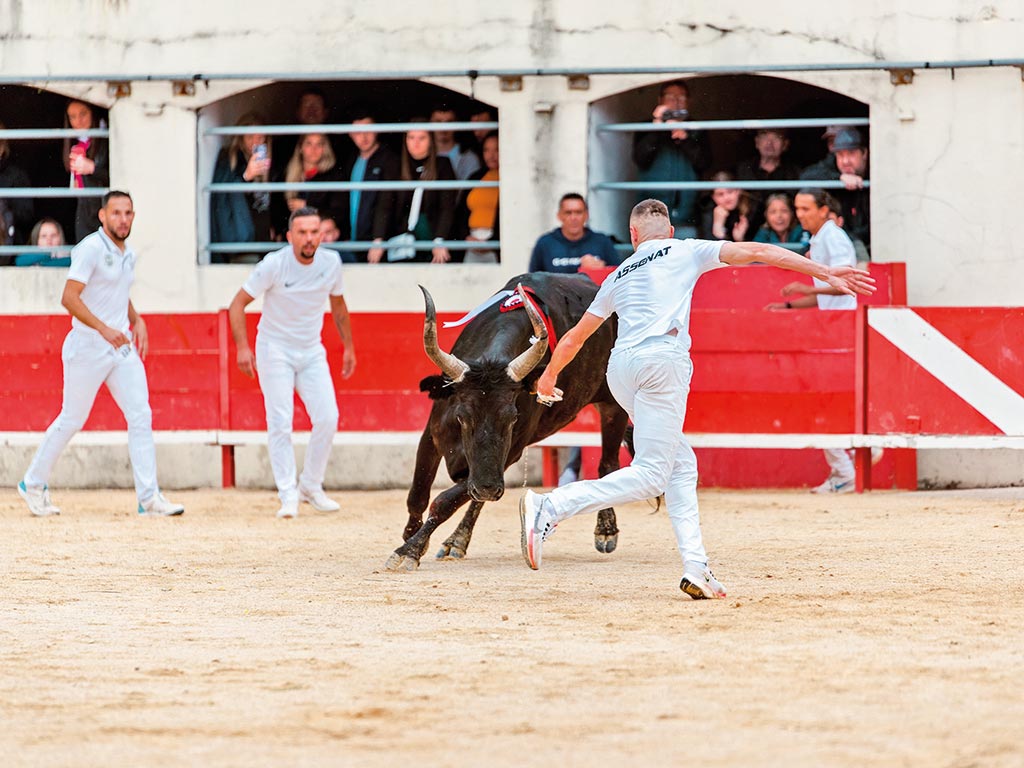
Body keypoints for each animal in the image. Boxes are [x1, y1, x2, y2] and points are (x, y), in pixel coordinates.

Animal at [382, 272, 622, 573]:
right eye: (462, 415)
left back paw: (606, 531)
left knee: (608, 464)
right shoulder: (431, 437)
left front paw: (410, 549)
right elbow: (418, 495)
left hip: (613, 404)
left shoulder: (509, 454)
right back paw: (457, 541)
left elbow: (444, 501)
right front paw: (410, 538)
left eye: (512, 416)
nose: (488, 487)